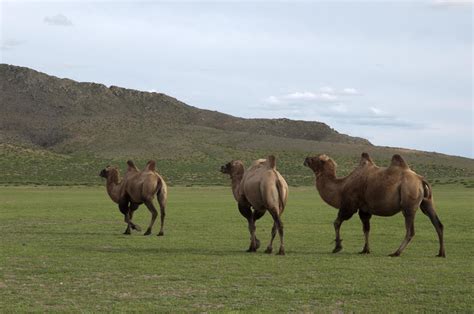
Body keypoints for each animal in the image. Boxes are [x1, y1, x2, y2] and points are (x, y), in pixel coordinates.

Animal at [304, 153, 444, 258]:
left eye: (315, 158)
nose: (306, 159)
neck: (341, 187)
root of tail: (421, 179)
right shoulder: (364, 209)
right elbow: (366, 228)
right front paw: (365, 250)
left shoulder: (349, 205)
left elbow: (337, 222)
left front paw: (337, 247)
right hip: (427, 202)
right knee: (438, 224)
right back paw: (441, 253)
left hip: (409, 203)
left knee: (410, 230)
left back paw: (396, 252)